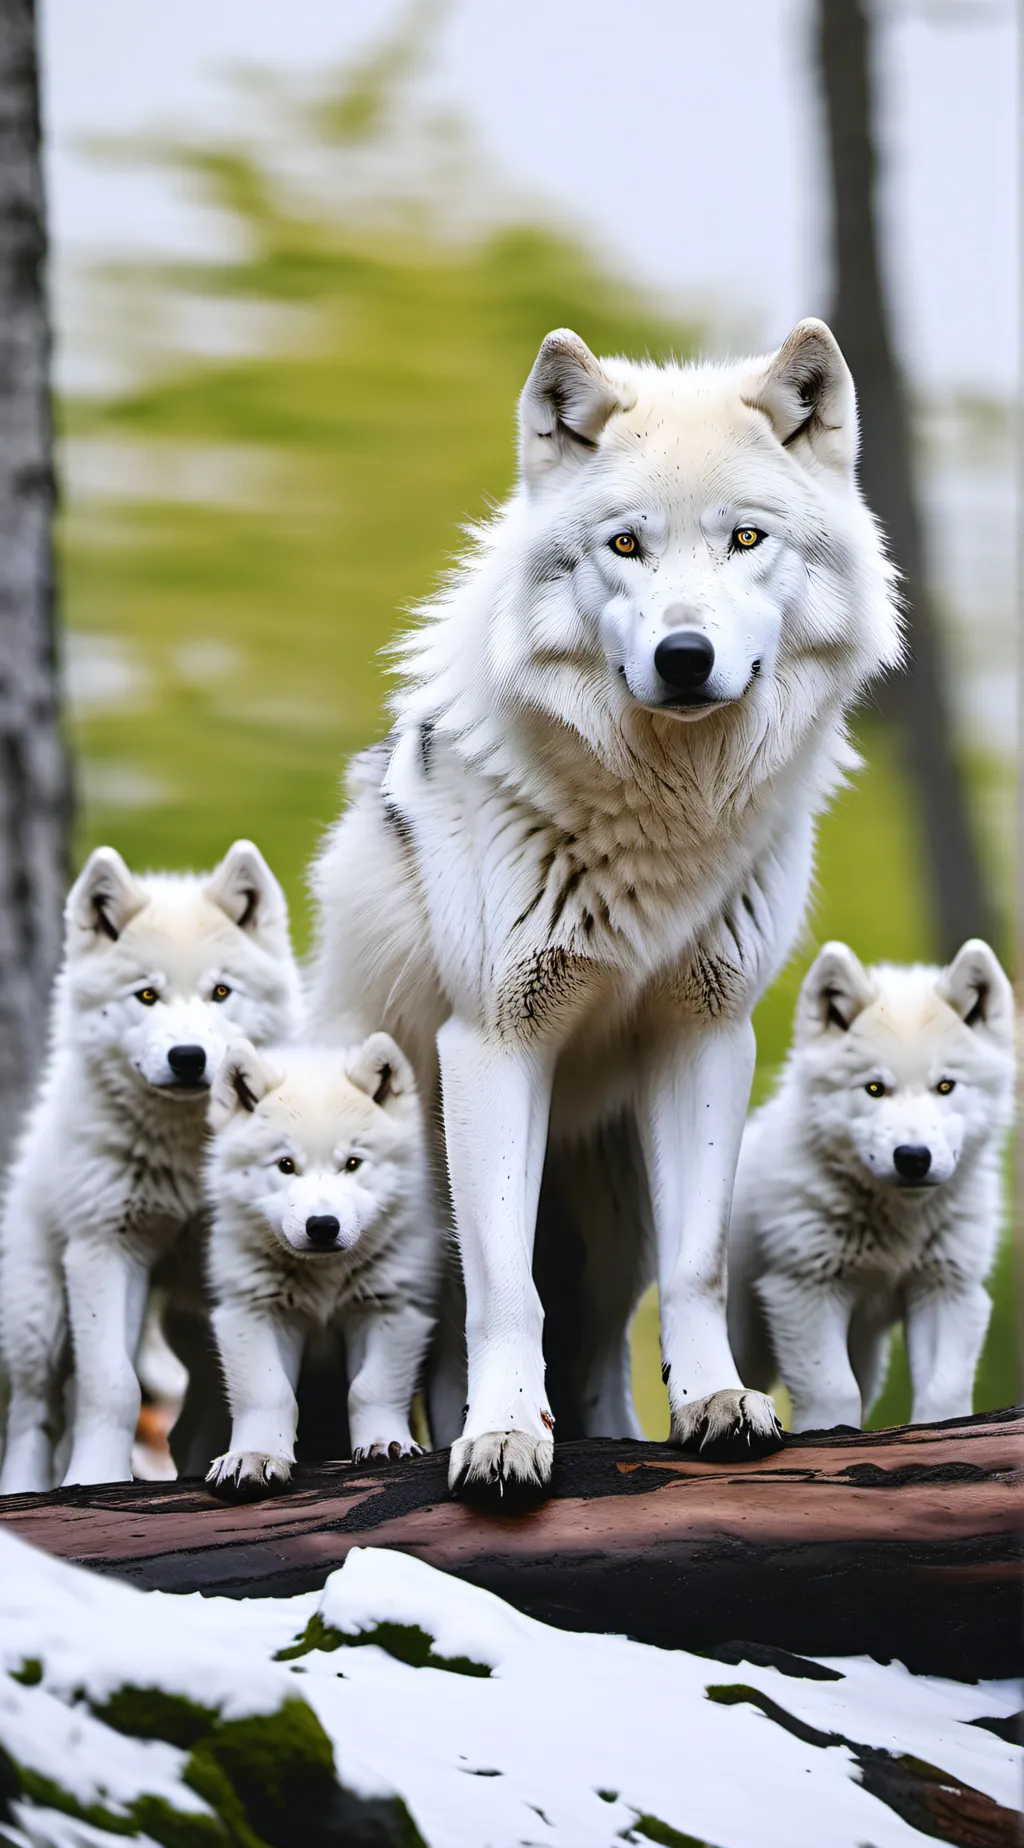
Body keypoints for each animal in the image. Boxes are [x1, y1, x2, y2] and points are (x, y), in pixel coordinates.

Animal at [0, 841, 301, 1493]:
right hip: (44, 1318)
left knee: (188, 1418)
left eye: (221, 992)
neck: (186, 1155)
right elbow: (112, 1386)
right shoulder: (106, 1251)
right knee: (34, 1415)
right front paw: (93, 1481)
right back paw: (28, 1491)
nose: (188, 1058)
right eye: (145, 995)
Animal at [204, 1034, 435, 1499]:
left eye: (353, 1163)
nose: (323, 1227)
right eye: (285, 1165)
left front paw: (384, 1443)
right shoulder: (252, 1312)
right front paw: (254, 1456)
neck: (325, 1279)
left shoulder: (390, 1309)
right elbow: (269, 1391)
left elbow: (369, 1388)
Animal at [308, 318, 902, 1495]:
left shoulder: (707, 1033)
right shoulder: (495, 1039)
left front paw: (718, 1403)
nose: (684, 655)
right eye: (625, 546)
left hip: (609, 1218)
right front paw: (501, 1438)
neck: (658, 824)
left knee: (591, 1358)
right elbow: (505, 1292)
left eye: (746, 539)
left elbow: (698, 1266)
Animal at [728, 939, 1014, 1432]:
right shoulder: (805, 1290)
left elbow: (944, 1395)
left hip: (867, 1352)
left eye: (945, 1086)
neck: (900, 1222)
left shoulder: (947, 1289)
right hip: (747, 1340)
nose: (913, 1157)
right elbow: (833, 1392)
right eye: (875, 1088)